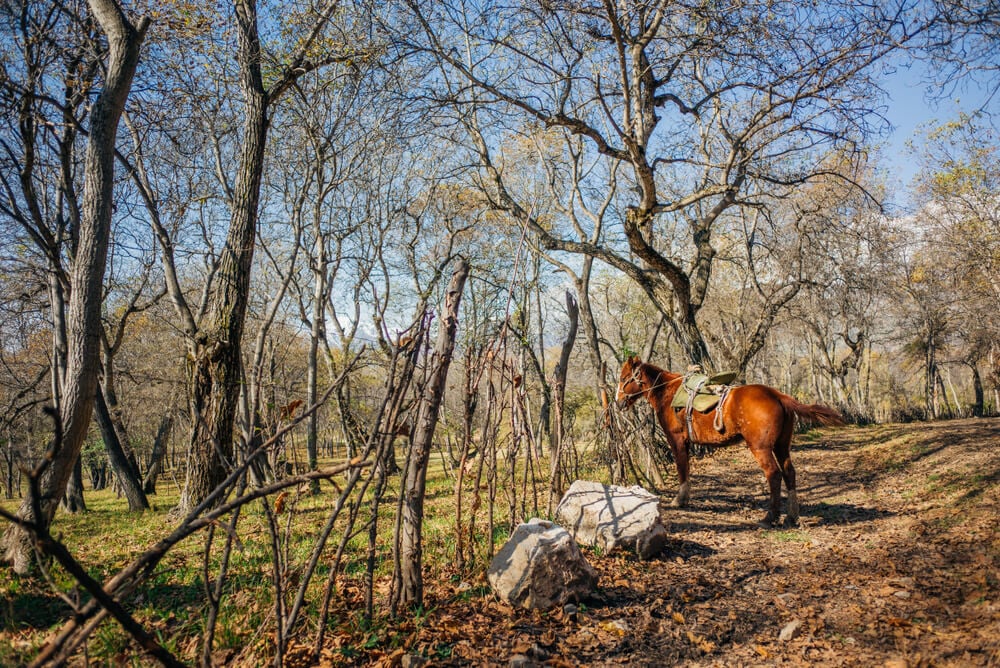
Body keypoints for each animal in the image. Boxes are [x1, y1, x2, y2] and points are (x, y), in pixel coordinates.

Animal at [616, 354, 844, 528]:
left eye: (624, 377)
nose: (618, 402)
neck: (667, 392)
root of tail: (777, 395)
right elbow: (686, 468)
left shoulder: (677, 440)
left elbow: (682, 468)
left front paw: (679, 499)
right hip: (781, 446)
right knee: (789, 473)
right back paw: (791, 516)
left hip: (760, 448)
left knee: (774, 474)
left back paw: (770, 517)